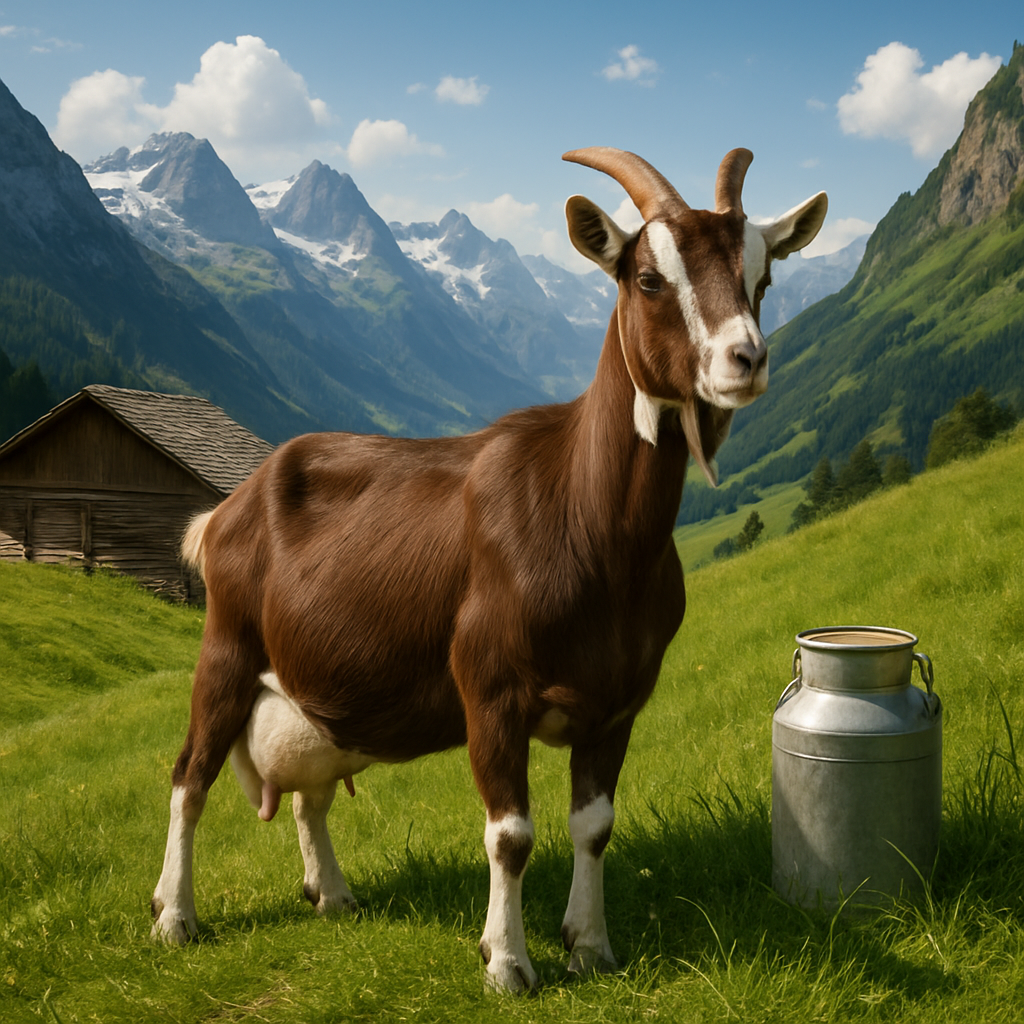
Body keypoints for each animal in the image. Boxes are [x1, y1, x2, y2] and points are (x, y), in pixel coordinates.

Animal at [151, 147, 827, 992]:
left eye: (762, 278)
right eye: (648, 277)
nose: (747, 358)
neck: (590, 527)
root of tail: (229, 507)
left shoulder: (618, 702)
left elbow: (594, 825)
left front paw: (590, 944)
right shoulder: (490, 687)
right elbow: (510, 833)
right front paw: (506, 960)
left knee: (309, 797)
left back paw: (332, 894)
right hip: (227, 650)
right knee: (190, 776)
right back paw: (175, 916)